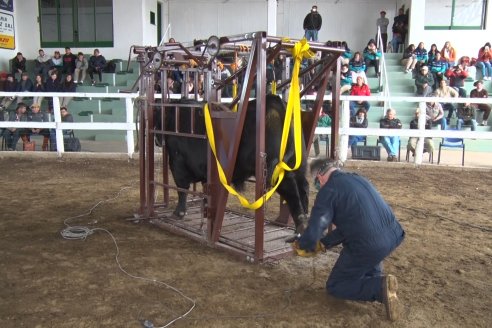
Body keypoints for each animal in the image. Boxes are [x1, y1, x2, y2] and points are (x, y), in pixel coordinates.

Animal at [158, 95, 310, 233]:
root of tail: (275, 101)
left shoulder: (177, 163)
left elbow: (182, 189)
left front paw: (179, 213)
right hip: (298, 165)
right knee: (303, 187)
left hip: (277, 171)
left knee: (291, 190)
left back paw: (301, 225)